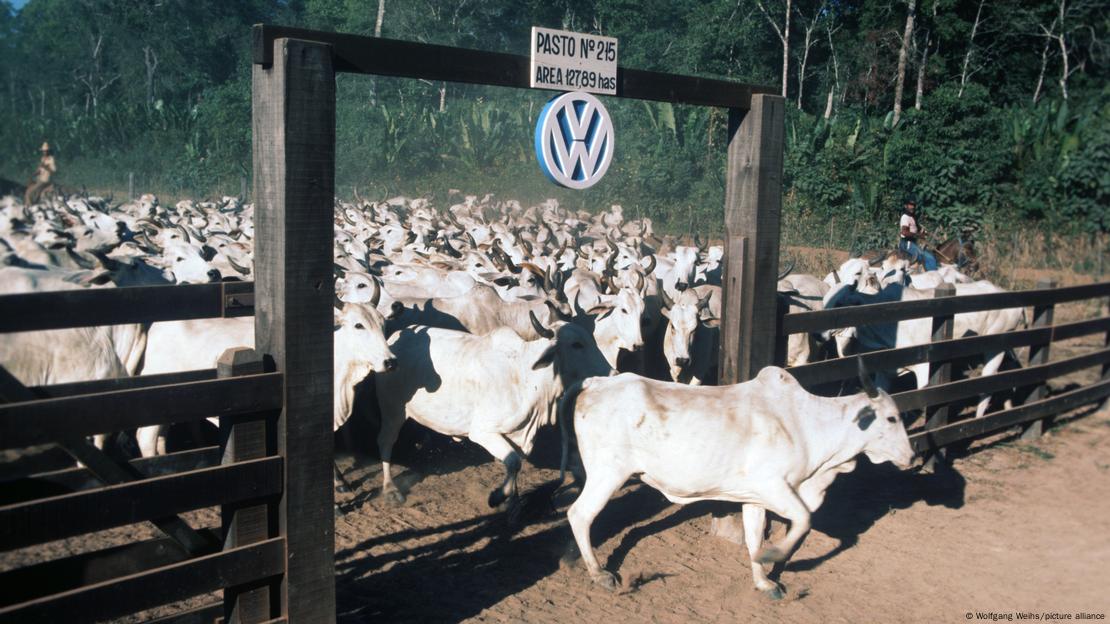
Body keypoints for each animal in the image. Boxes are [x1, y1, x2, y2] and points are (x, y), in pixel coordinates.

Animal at [559, 361, 914, 595]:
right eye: (891, 418)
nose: (910, 457)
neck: (806, 424)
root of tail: (595, 382)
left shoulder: (754, 498)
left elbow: (755, 537)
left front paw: (763, 581)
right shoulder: (775, 486)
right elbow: (803, 520)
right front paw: (773, 556)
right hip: (608, 472)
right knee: (580, 514)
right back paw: (598, 573)